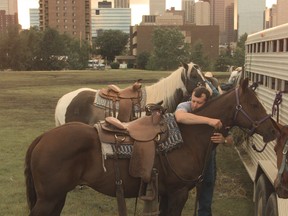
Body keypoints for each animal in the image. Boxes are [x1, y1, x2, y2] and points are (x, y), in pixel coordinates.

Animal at [25, 78, 280, 216]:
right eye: (254, 104)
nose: (274, 131)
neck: (187, 138)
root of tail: (42, 138)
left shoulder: (167, 194)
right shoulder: (178, 194)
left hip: (56, 197)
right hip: (49, 198)